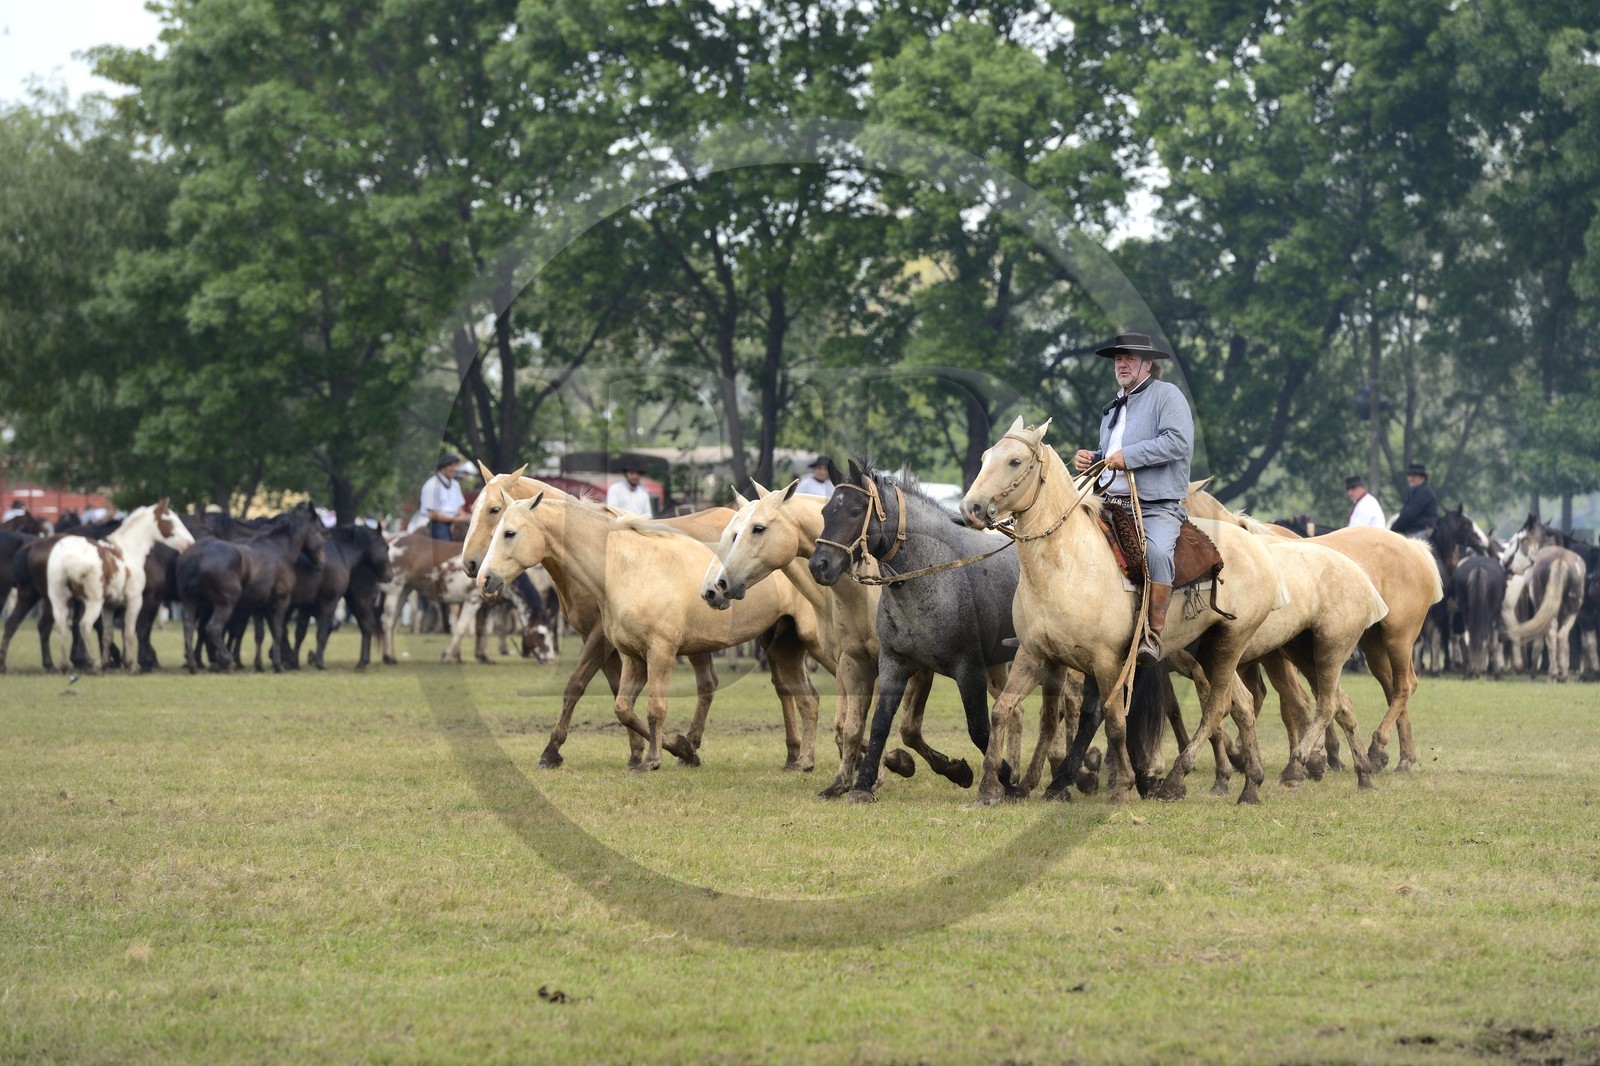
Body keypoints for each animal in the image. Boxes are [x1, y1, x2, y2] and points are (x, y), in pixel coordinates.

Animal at [45, 501, 195, 674]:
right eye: (170, 521)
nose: (190, 543)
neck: (128, 550)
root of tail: (68, 558)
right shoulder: (134, 601)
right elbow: (130, 632)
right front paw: (130, 664)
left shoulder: (109, 606)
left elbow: (108, 634)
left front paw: (106, 663)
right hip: (93, 602)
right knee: (85, 625)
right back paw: (92, 663)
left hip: (59, 600)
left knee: (62, 627)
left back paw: (65, 666)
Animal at [458, 464, 734, 769]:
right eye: (473, 508)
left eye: (495, 510)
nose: (471, 565)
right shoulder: (600, 638)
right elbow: (617, 689)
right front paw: (637, 750)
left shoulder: (600, 636)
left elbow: (576, 684)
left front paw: (551, 750)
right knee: (707, 683)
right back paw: (690, 746)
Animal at [479, 493, 834, 772]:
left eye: (509, 533)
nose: (484, 578)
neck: (627, 567)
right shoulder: (633, 656)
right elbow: (624, 709)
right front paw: (681, 748)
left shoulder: (660, 653)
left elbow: (654, 709)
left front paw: (654, 759)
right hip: (784, 645)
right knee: (805, 697)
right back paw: (801, 759)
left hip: (818, 646)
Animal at [962, 418, 1287, 804]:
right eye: (984, 457)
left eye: (1014, 461)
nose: (971, 508)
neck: (1065, 563)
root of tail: (1256, 546)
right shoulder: (1035, 655)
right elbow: (1003, 710)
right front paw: (991, 788)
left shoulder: (1106, 661)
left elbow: (1115, 720)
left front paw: (1122, 785)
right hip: (1206, 648)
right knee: (1242, 703)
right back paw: (1250, 785)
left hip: (1230, 643)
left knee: (1217, 706)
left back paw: (1176, 780)